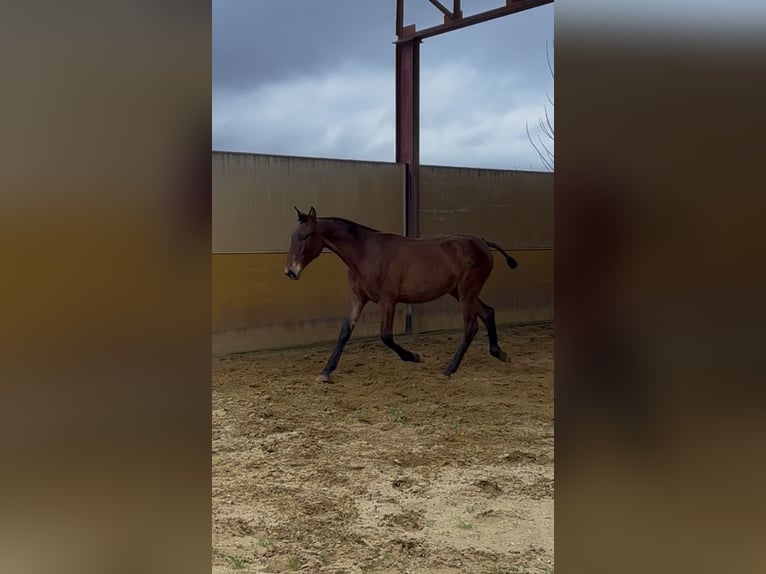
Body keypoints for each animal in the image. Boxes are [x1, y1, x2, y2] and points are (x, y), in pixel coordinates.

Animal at [284, 206, 518, 382]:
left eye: (305, 236)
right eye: (293, 236)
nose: (290, 271)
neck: (366, 253)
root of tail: (482, 242)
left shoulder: (388, 300)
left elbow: (386, 336)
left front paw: (414, 356)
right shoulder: (359, 299)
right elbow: (345, 331)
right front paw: (326, 372)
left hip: (467, 291)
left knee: (471, 326)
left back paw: (449, 369)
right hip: (459, 292)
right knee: (487, 312)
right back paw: (499, 353)